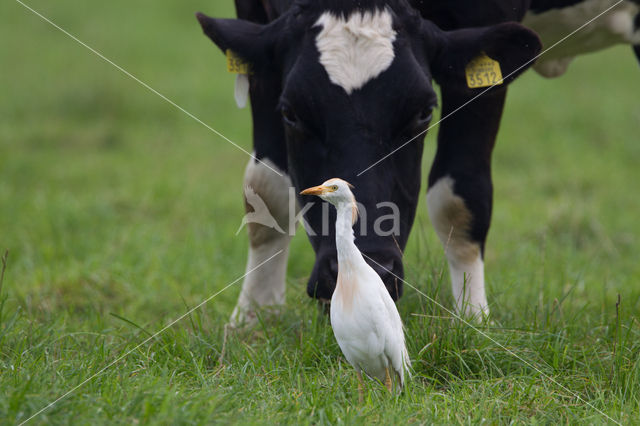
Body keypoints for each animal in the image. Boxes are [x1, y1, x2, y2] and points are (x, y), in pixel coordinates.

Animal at [198, 0, 636, 326]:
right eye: (290, 114)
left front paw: (472, 318)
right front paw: (253, 318)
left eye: (424, 112)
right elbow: (266, 192)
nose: (371, 266)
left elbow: (459, 197)